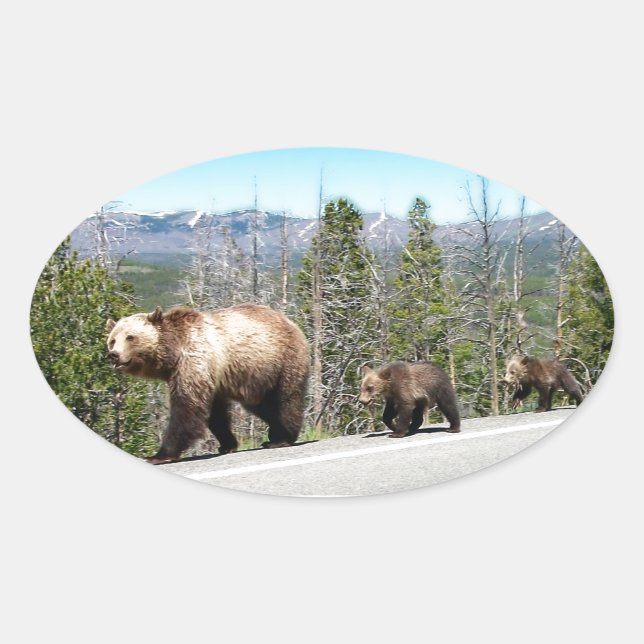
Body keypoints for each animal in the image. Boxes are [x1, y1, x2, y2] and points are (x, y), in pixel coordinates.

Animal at [105, 304, 310, 464]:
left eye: (130, 337)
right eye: (112, 340)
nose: (114, 355)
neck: (172, 354)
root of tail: (290, 322)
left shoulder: (193, 361)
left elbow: (187, 408)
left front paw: (158, 455)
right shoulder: (210, 378)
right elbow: (215, 414)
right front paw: (227, 444)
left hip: (282, 361)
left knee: (285, 399)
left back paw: (282, 438)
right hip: (258, 377)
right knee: (263, 406)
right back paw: (274, 435)